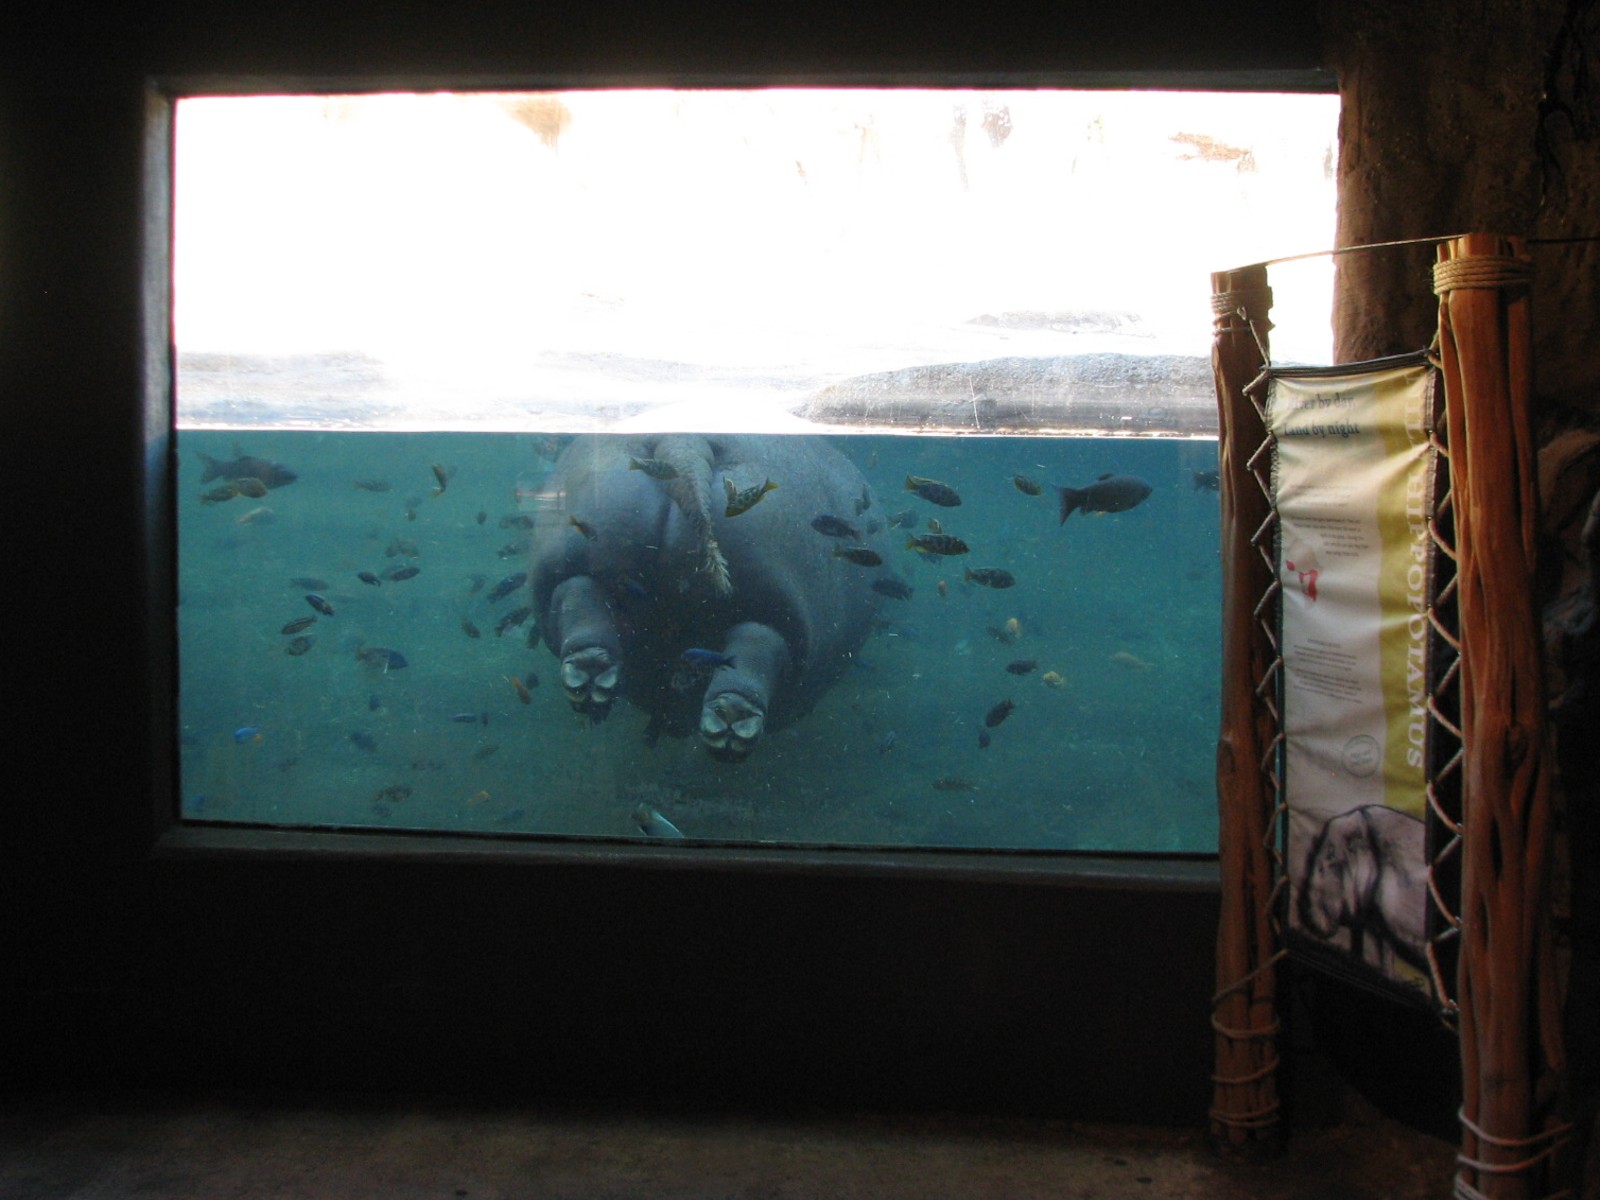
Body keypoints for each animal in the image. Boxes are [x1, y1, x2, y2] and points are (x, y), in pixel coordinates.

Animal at [529, 434, 890, 760]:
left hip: (581, 551)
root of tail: (685, 444)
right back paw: (733, 727)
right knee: (756, 653)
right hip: (777, 598)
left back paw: (591, 676)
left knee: (579, 601)